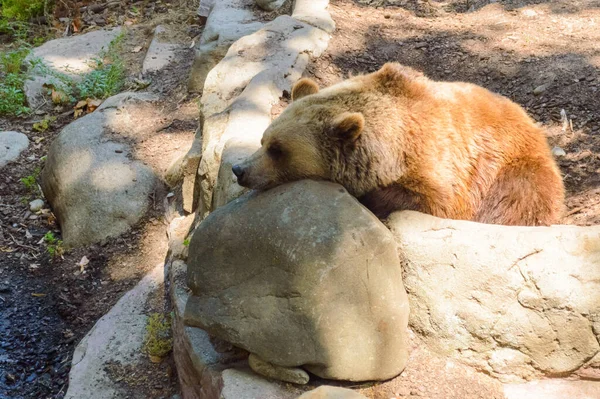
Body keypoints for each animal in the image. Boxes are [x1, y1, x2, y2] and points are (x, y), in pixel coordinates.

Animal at [232, 62, 564, 225]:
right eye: (263, 139)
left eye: (278, 150)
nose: (239, 169)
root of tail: (532, 124)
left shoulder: (442, 168)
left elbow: (433, 202)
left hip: (515, 171)